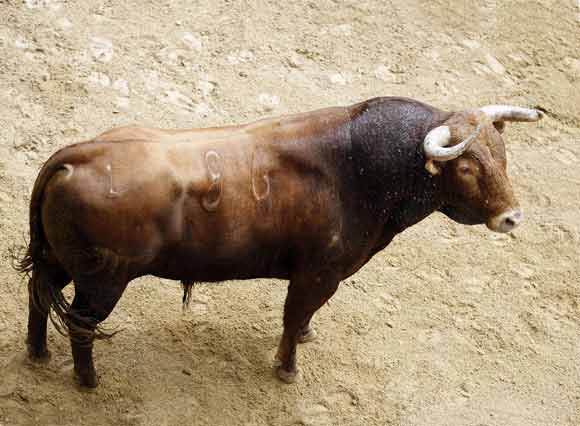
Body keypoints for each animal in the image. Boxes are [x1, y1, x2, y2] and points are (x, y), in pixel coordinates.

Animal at [18, 95, 544, 386]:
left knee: (39, 296)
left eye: (502, 152)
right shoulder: (317, 274)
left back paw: (38, 354)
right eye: (467, 167)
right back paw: (88, 381)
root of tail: (76, 156)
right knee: (81, 323)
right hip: (104, 282)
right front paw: (288, 369)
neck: (362, 168)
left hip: (59, 261)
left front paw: (307, 336)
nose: (513, 217)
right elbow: (292, 319)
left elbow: (303, 319)